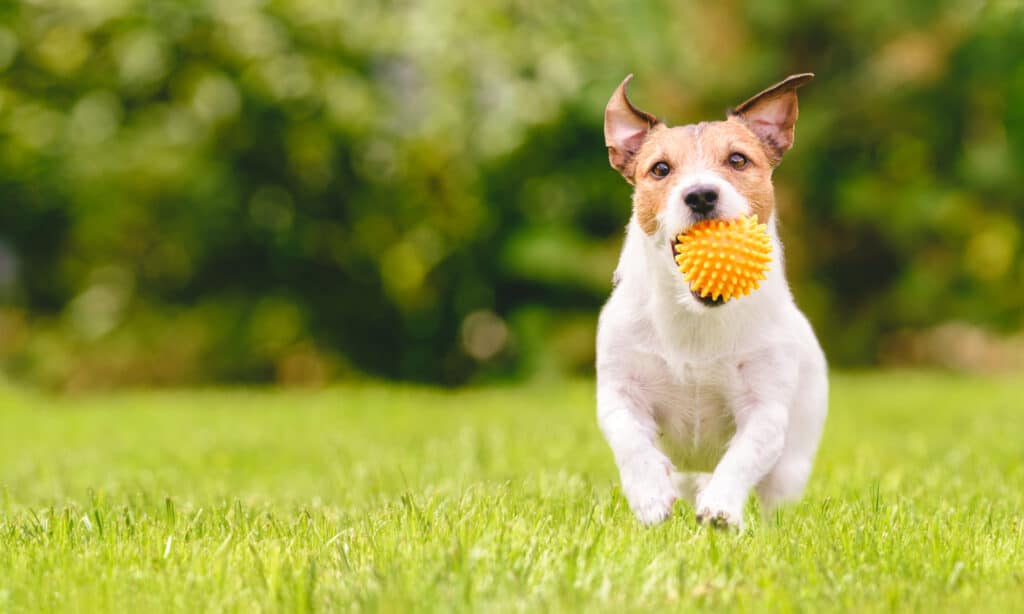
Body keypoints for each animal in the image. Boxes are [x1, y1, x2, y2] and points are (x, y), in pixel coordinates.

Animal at [598, 73, 827, 528]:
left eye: (738, 160)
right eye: (660, 169)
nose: (701, 194)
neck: (695, 319)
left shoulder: (765, 409)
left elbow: (744, 456)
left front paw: (721, 507)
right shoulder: (619, 391)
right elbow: (631, 441)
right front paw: (650, 495)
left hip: (793, 461)